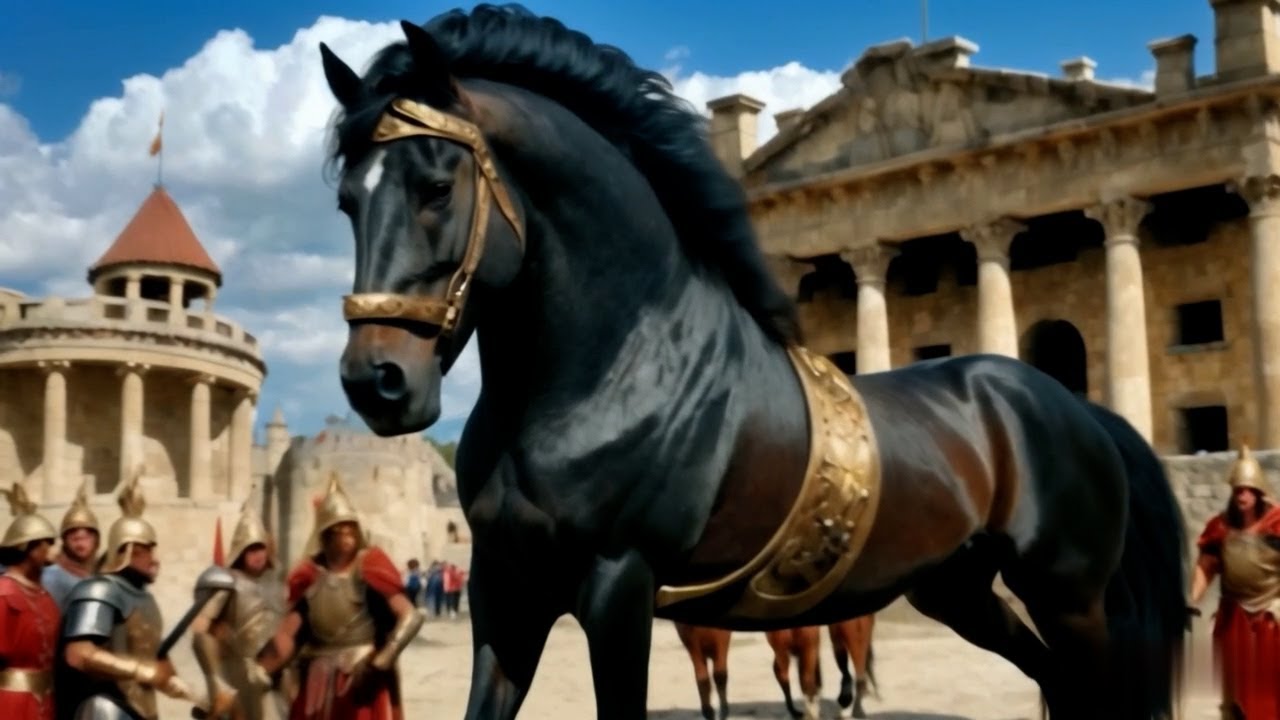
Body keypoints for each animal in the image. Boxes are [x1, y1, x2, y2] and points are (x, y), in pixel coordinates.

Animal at [319, 6, 1189, 719]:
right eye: (345, 202)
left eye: (437, 186)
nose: (377, 382)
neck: (610, 371)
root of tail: (1078, 408)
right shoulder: (505, 590)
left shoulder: (619, 586)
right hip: (962, 588)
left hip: (1070, 594)